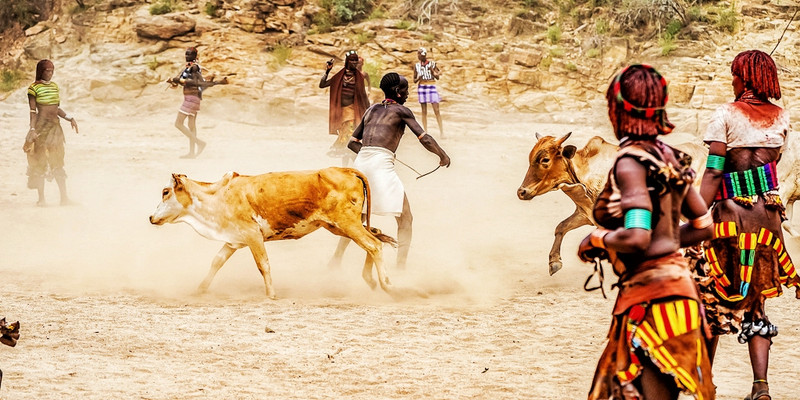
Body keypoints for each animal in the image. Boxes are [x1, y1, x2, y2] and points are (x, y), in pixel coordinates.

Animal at [149, 166, 406, 300]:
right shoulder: (233, 241)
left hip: (347, 223)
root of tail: (346, 170)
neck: (220, 195)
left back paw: (388, 285)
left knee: (373, 244)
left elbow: (263, 264)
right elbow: (216, 261)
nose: (151, 217)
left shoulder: (253, 236)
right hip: (338, 226)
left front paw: (271, 294)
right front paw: (200, 289)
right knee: (375, 236)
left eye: (165, 192)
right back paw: (371, 281)